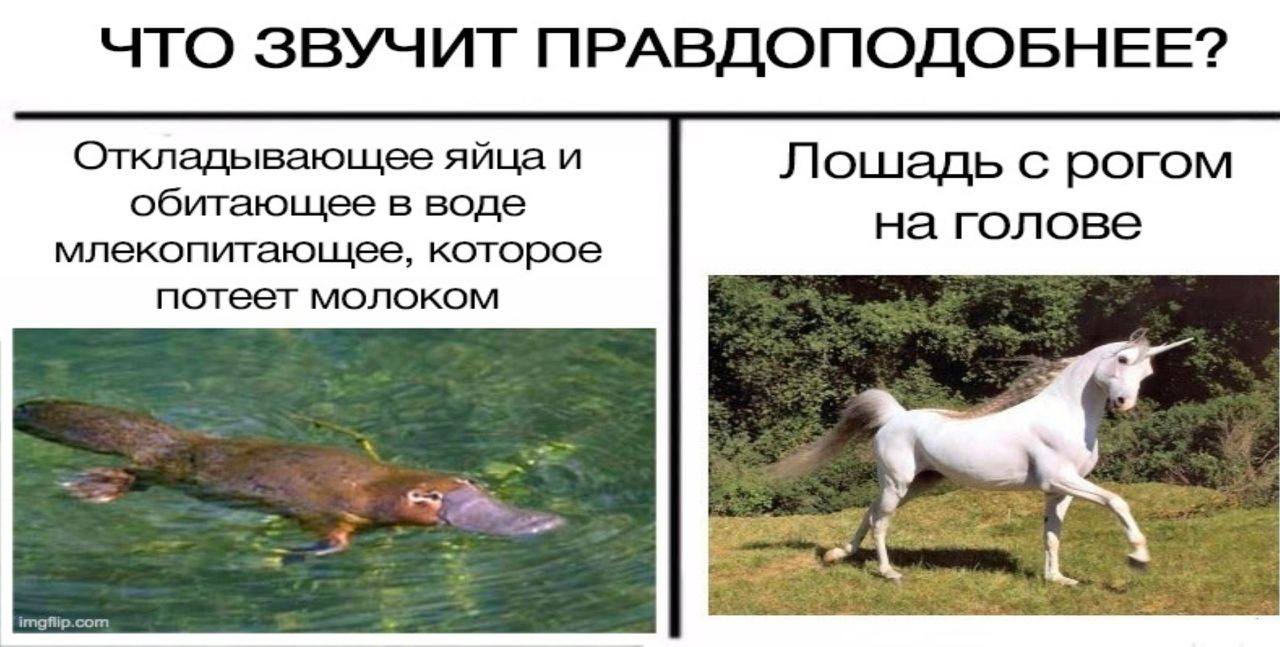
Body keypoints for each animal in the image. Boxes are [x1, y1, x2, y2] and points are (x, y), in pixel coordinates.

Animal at [766, 329, 1193, 585]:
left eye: (1147, 371)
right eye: (1122, 360)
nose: (1123, 403)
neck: (1064, 414)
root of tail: (895, 417)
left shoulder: (1060, 491)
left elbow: (1052, 535)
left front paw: (1057, 580)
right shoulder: (1062, 480)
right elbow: (1117, 502)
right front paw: (1138, 557)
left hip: (916, 485)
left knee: (871, 513)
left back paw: (839, 554)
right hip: (898, 483)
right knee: (881, 522)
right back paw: (889, 573)